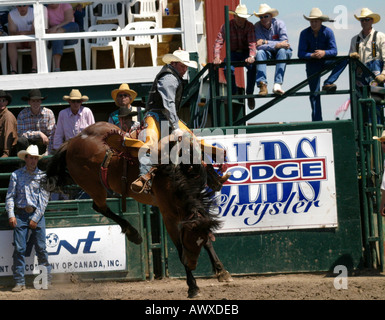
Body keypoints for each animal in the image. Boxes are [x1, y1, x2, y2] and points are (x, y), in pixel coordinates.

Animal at [45, 122, 231, 298]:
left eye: (199, 239)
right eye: (189, 239)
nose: (192, 264)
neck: (175, 175)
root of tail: (72, 142)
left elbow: (207, 239)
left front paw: (221, 271)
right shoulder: (168, 216)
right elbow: (179, 250)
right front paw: (193, 287)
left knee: (99, 207)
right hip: (93, 186)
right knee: (99, 206)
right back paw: (133, 233)